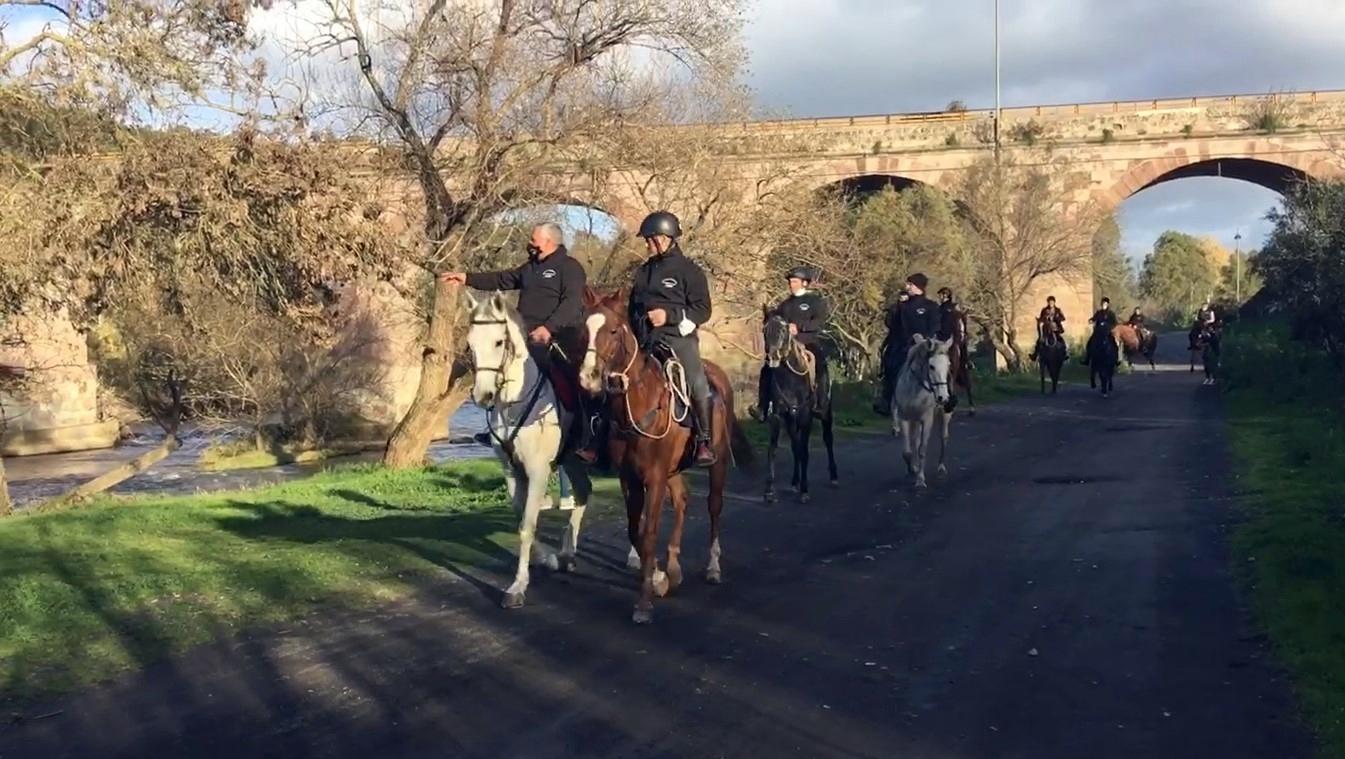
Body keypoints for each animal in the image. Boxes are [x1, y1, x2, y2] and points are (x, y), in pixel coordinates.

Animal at [463, 292, 592, 610]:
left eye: (499, 342)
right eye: (470, 343)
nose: (482, 395)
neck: (514, 402)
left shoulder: (537, 471)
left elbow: (527, 526)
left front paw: (518, 586)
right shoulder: (512, 471)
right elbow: (523, 520)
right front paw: (546, 558)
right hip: (572, 459)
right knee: (583, 492)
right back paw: (567, 554)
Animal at [579, 289, 755, 625]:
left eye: (613, 330)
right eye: (585, 329)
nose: (588, 377)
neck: (639, 402)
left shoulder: (655, 478)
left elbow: (648, 534)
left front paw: (644, 603)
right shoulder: (630, 478)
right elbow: (634, 530)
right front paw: (661, 577)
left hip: (717, 465)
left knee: (714, 507)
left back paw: (713, 567)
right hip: (673, 472)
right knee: (683, 501)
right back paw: (674, 567)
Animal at [760, 311, 838, 504]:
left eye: (783, 330)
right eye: (764, 330)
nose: (772, 358)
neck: (790, 378)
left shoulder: (805, 416)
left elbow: (804, 451)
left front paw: (805, 490)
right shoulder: (778, 416)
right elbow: (773, 449)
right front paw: (769, 490)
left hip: (825, 412)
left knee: (828, 439)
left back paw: (834, 476)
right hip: (790, 419)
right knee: (795, 445)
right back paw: (795, 481)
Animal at [892, 337, 955, 489]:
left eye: (948, 365)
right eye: (931, 366)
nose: (943, 398)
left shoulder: (927, 419)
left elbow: (922, 449)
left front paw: (920, 480)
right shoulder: (904, 418)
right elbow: (907, 451)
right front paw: (912, 470)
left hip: (944, 416)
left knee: (943, 437)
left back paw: (941, 467)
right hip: (914, 420)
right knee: (915, 440)